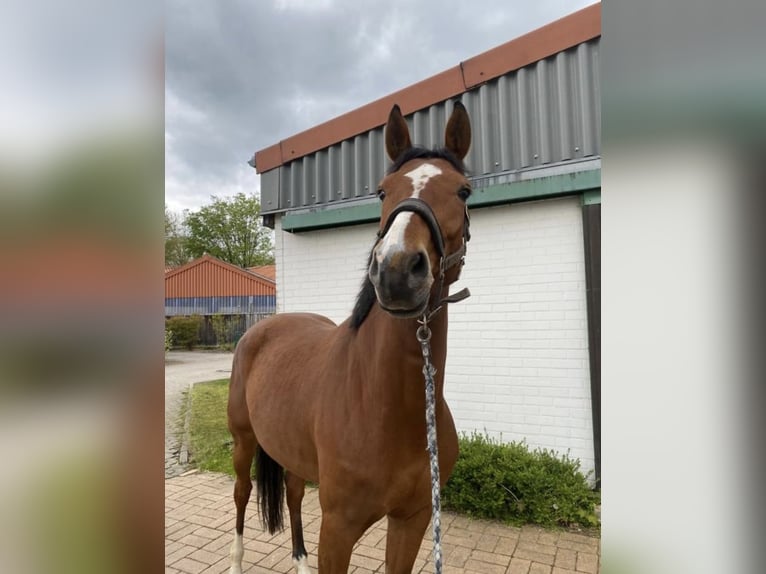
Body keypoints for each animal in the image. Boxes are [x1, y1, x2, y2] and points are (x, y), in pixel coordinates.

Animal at [225, 103, 472, 574]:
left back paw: (300, 561)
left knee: (293, 492)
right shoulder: (339, 528)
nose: (396, 270)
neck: (387, 407)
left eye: (464, 191)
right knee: (242, 494)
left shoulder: (413, 519)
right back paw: (236, 562)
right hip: (243, 441)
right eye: (381, 191)